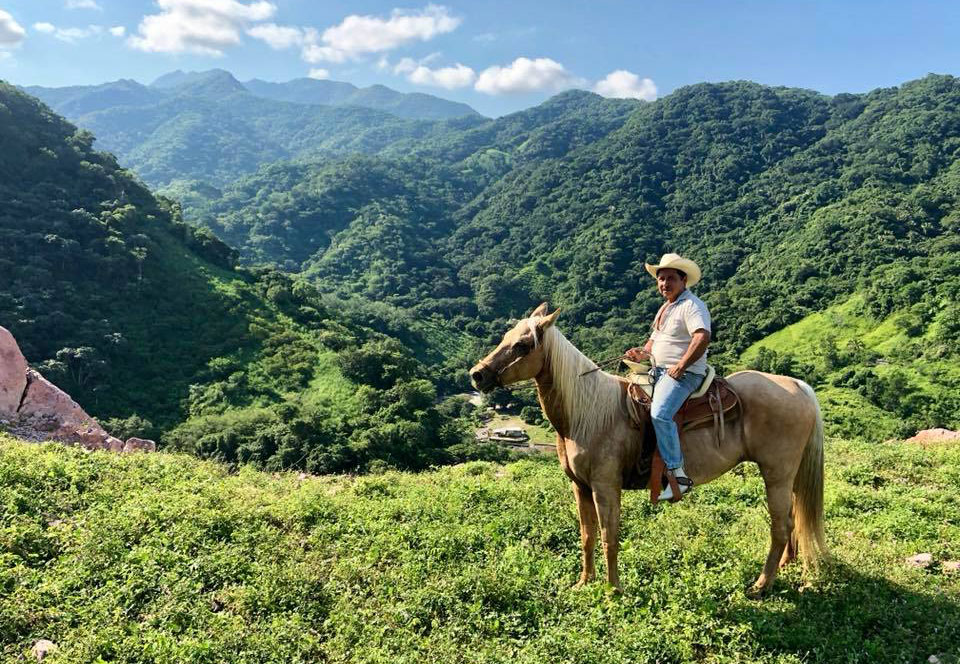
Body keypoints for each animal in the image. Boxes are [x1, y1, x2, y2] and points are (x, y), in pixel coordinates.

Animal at [468, 304, 828, 596]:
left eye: (523, 344)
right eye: (505, 336)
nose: (477, 374)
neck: (586, 414)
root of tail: (798, 386)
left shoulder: (605, 486)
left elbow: (609, 535)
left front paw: (613, 589)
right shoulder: (580, 487)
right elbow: (586, 536)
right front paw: (584, 582)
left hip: (776, 473)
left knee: (780, 526)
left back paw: (761, 585)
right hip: (789, 475)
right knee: (794, 519)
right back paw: (785, 566)